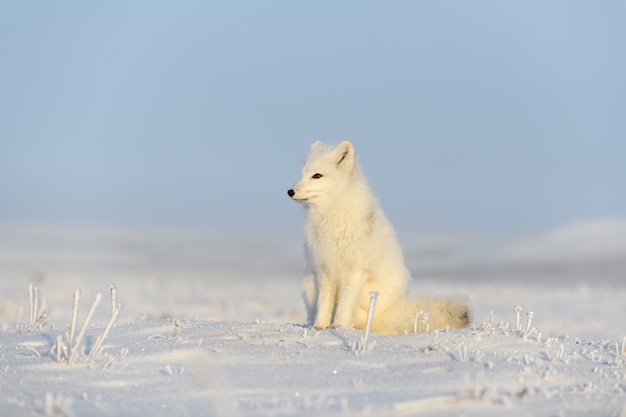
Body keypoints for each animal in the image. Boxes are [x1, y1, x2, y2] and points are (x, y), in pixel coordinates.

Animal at [288, 141, 468, 334]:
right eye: (302, 174)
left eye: (317, 176)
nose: (290, 191)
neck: (330, 214)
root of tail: (390, 312)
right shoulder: (324, 268)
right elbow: (324, 303)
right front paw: (320, 326)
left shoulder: (356, 270)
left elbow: (344, 304)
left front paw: (339, 326)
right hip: (308, 283)